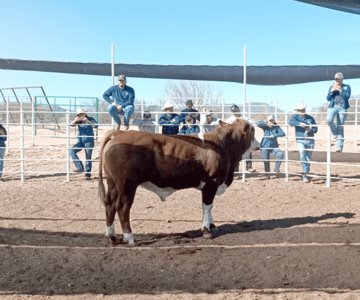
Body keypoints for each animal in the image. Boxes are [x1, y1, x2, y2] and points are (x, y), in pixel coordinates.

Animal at [97, 118, 258, 245]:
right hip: (127, 185)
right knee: (122, 208)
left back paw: (111, 236)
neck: (221, 146)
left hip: (112, 182)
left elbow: (210, 207)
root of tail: (119, 133)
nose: (258, 144)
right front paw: (206, 230)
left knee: (109, 205)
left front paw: (212, 225)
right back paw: (129, 238)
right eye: (253, 131)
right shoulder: (211, 183)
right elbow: (207, 206)